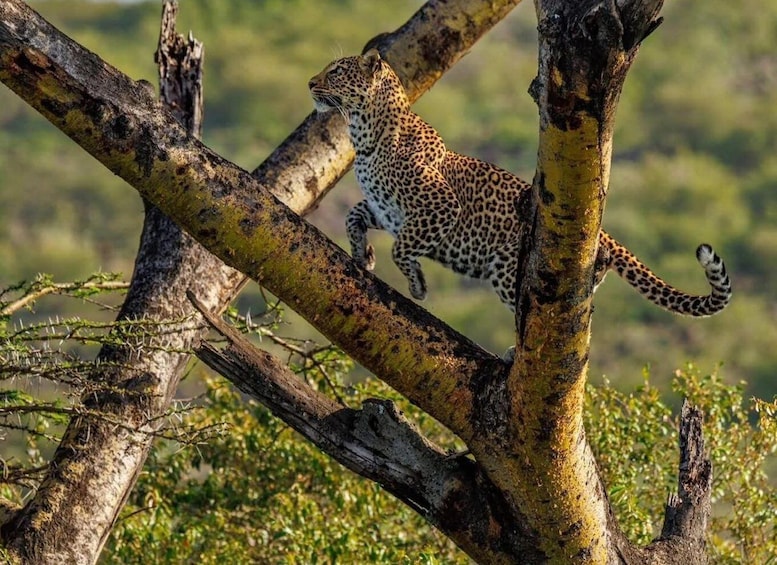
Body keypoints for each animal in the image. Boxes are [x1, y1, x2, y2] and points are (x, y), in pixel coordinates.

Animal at [308, 49, 732, 318]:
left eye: (336, 71)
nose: (311, 82)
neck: (363, 134)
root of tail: (605, 235)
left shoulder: (438, 207)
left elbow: (402, 249)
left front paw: (417, 286)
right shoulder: (388, 210)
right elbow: (354, 215)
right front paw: (363, 254)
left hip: (506, 268)